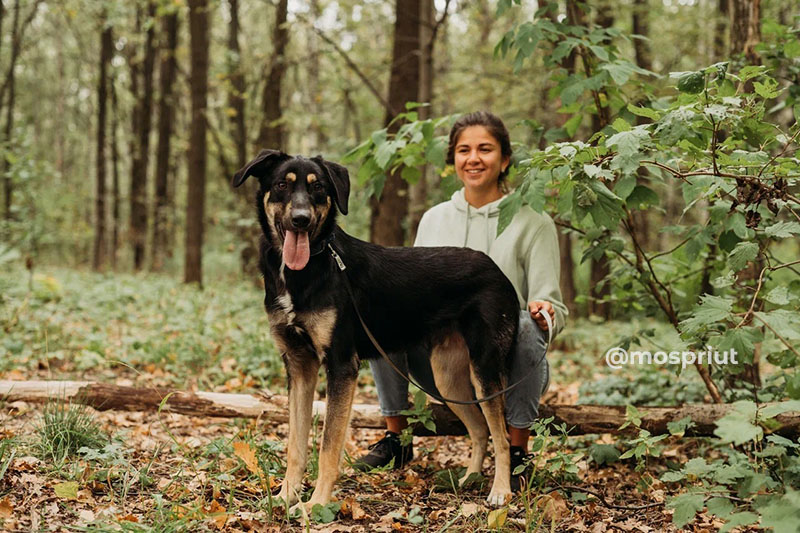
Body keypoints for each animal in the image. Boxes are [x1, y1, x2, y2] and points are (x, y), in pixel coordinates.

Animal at [231, 152, 520, 510]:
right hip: (447, 378)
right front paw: (286, 495)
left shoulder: (342, 365)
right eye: (282, 184)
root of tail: (497, 269)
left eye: (319, 188)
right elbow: (295, 445)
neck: (308, 270)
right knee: (480, 430)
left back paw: (500, 490)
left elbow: (328, 446)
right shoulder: (298, 366)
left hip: (484, 368)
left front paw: (316, 504)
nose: (300, 220)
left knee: (501, 434)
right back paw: (470, 479)